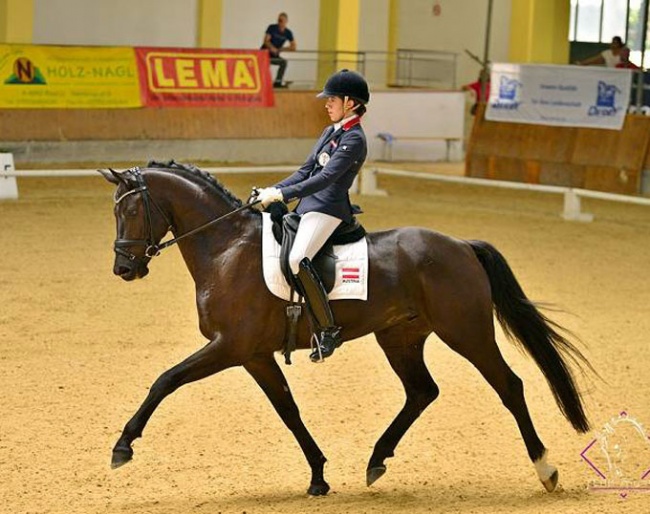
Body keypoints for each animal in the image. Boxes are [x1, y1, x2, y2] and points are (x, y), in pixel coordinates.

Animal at [98, 162, 588, 494]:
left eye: (132, 211)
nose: (124, 268)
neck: (226, 248)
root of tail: (462, 246)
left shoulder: (230, 347)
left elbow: (165, 380)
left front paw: (123, 446)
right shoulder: (253, 355)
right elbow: (289, 410)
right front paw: (318, 475)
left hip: (467, 333)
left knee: (509, 385)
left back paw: (546, 469)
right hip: (400, 337)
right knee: (422, 391)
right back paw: (376, 460)